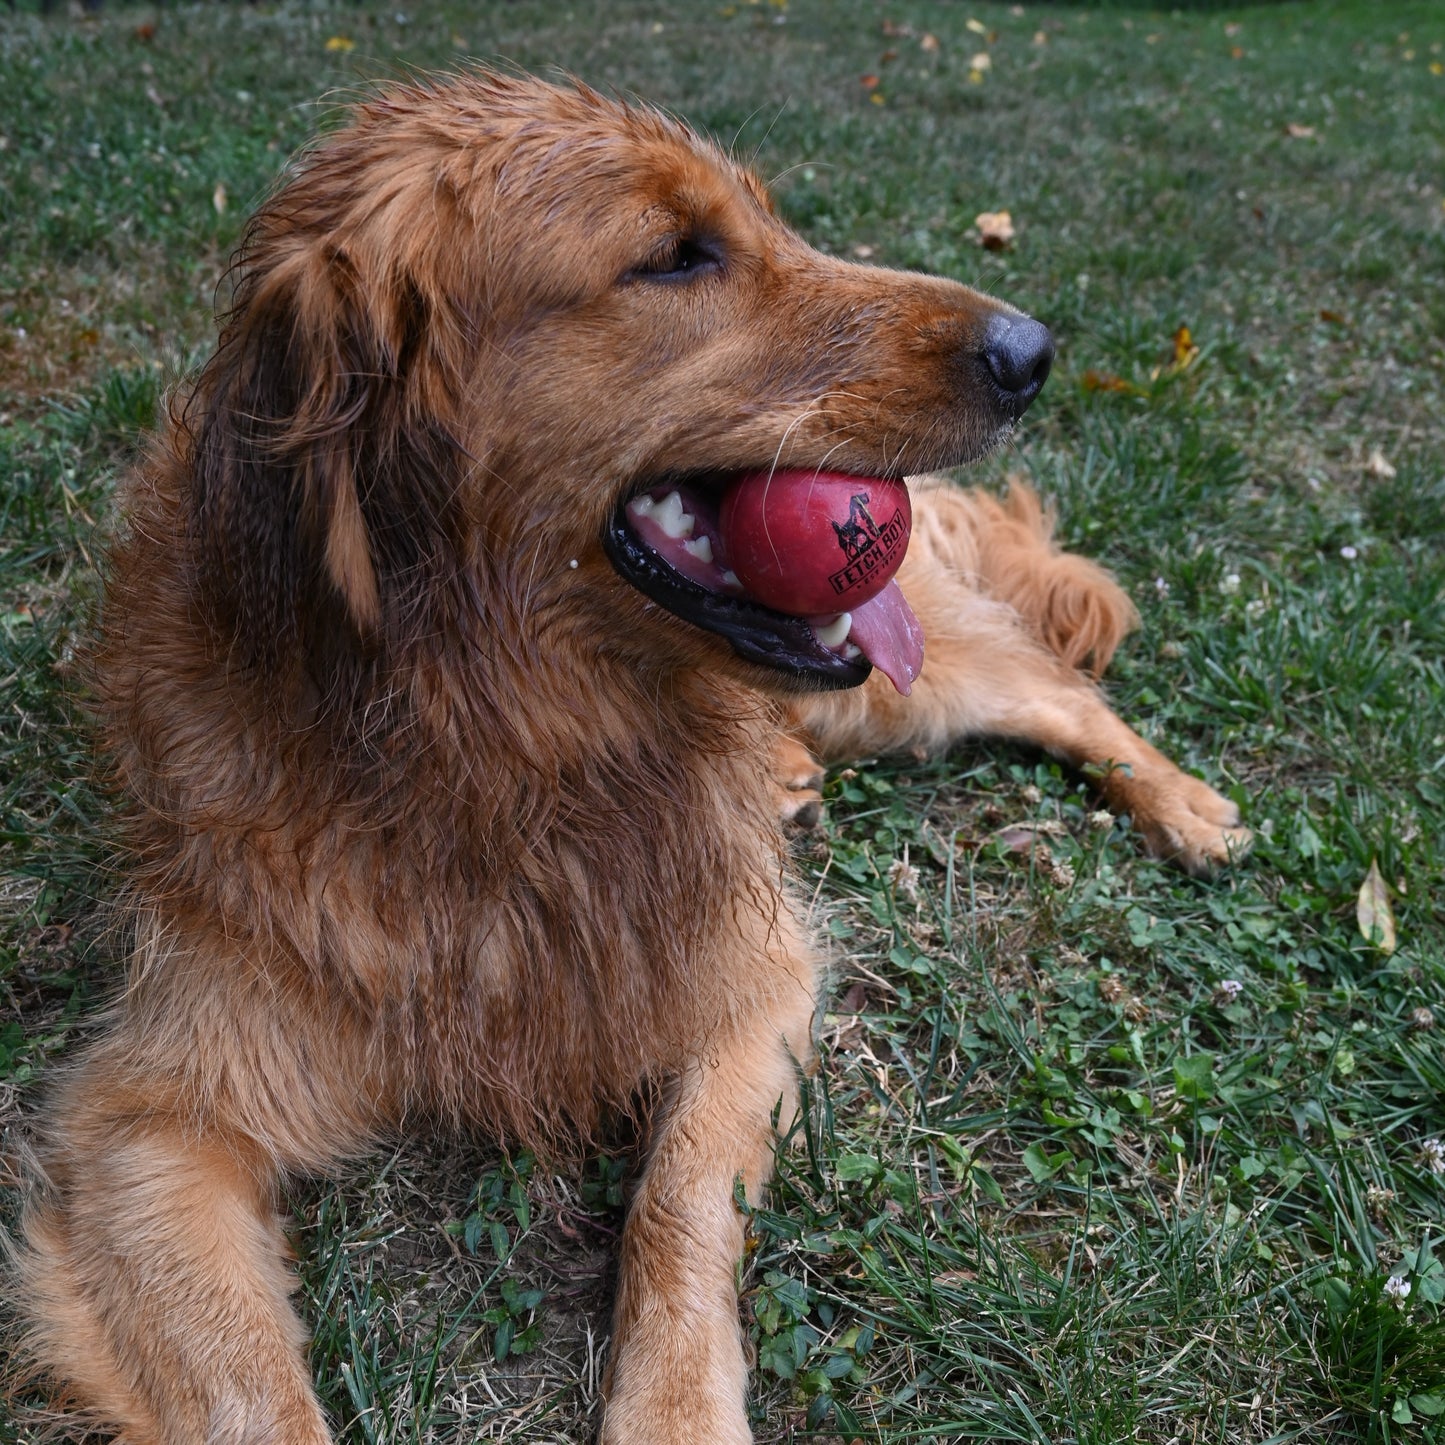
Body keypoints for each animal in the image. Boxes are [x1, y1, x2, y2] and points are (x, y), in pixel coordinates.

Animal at [14, 70, 1242, 1445]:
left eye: (763, 220)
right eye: (673, 256)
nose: (1031, 350)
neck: (506, 745)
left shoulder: (750, 976)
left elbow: (675, 1204)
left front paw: (673, 1409)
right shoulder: (150, 1120)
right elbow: (252, 1398)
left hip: (899, 690)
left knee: (1059, 690)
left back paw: (1185, 805)